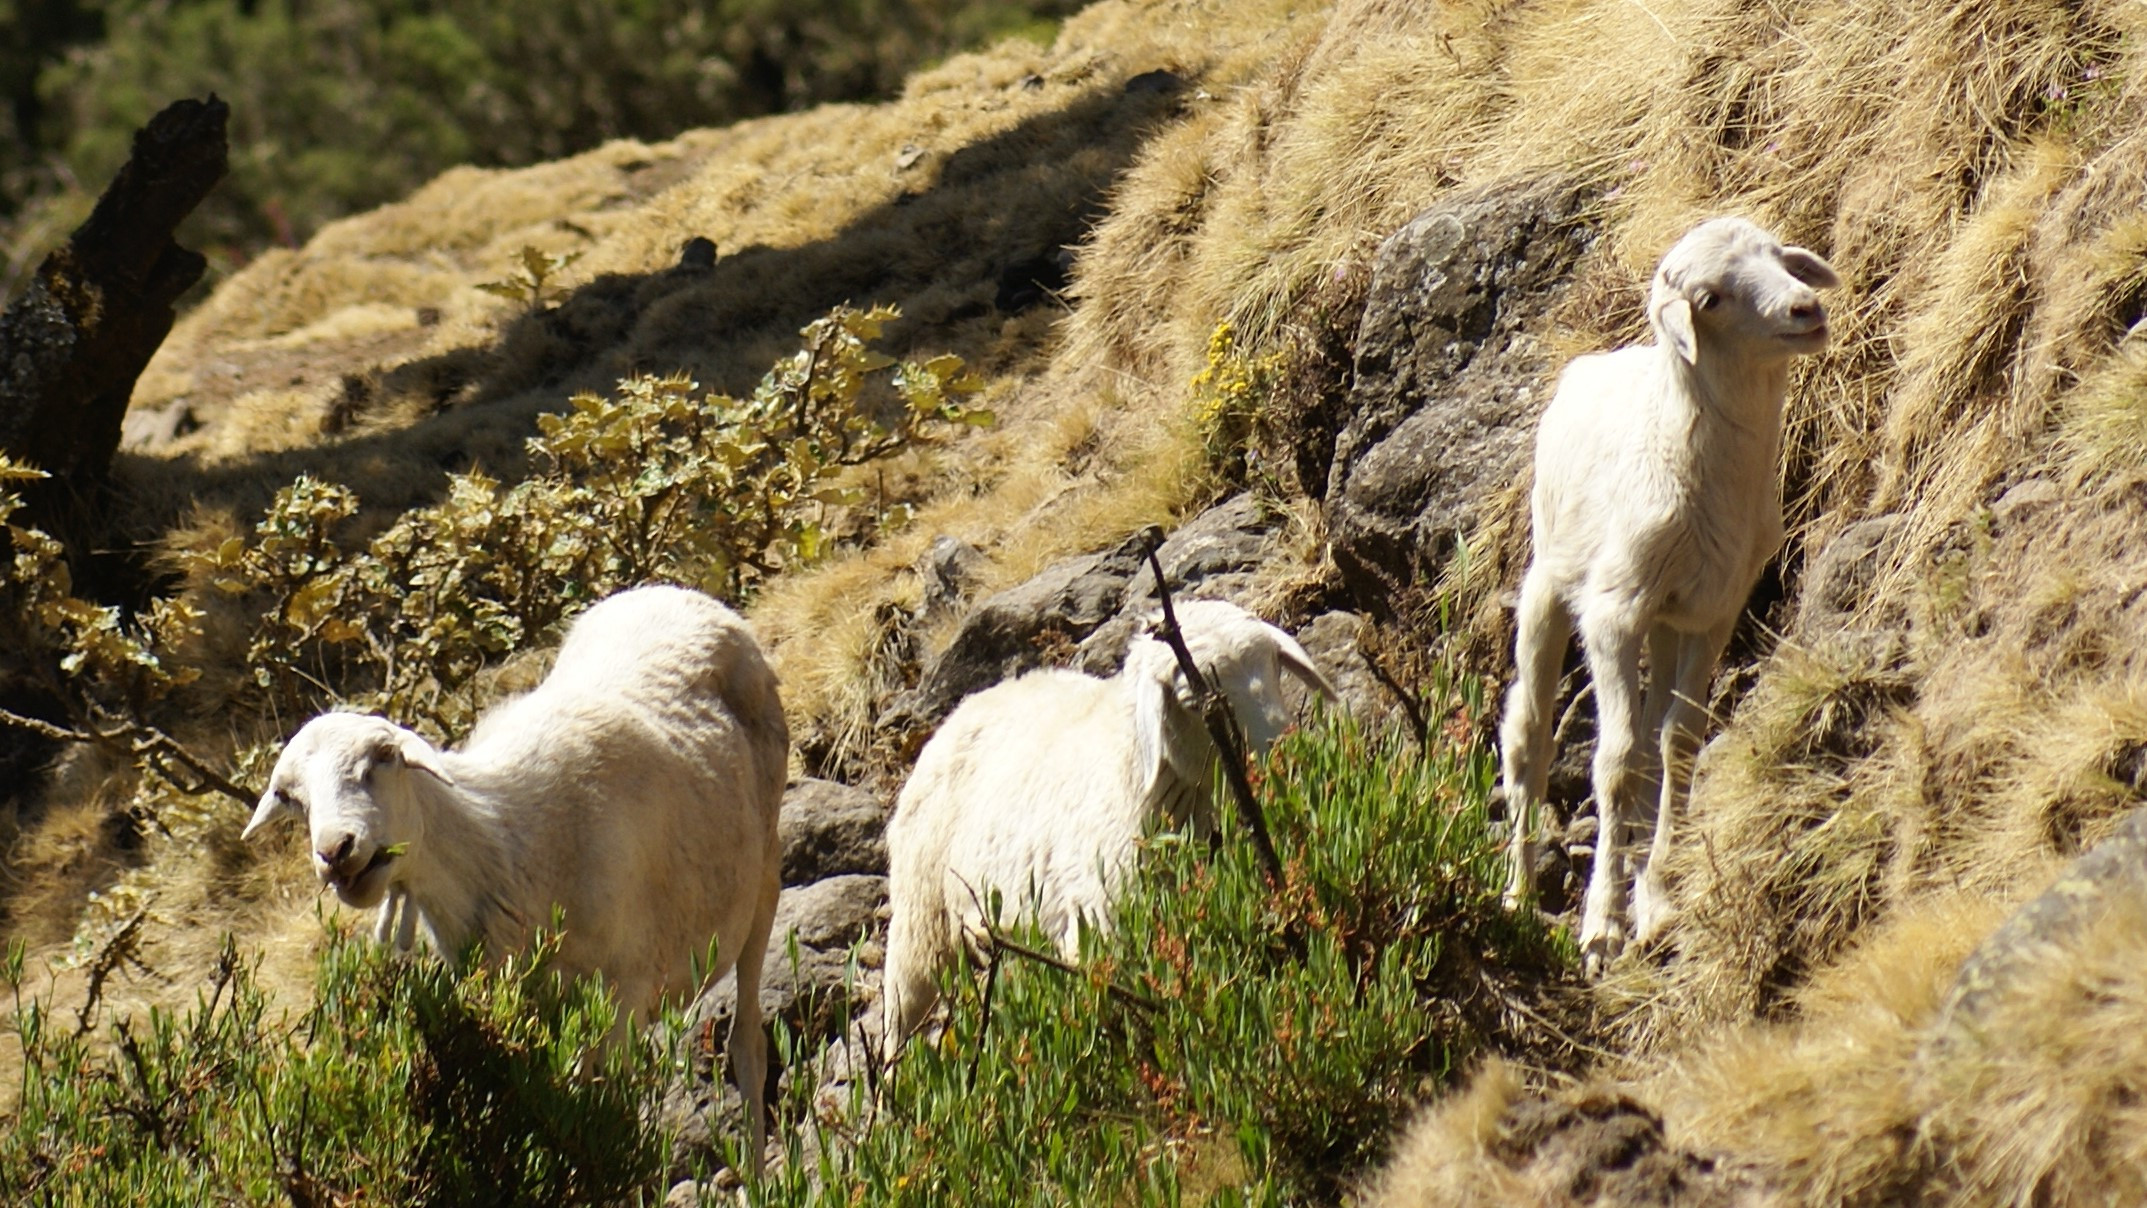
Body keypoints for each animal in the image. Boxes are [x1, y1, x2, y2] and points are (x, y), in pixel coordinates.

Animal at [243, 587, 794, 1175]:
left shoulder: (624, 991)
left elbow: (609, 1119)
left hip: (763, 873)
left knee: (748, 1043)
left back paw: (757, 1174)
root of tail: (675, 592)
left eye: (385, 756)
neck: (503, 840)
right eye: (291, 797)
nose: (336, 852)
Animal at [880, 600, 1331, 1064]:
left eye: (1273, 664)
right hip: (921, 918)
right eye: (1193, 698)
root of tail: (965, 707)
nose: (1281, 752)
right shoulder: (1099, 927)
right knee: (899, 1023)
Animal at [1502, 212, 1837, 978]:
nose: (1804, 309)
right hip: (1549, 583)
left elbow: (1675, 745)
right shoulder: (1612, 614)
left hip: (1666, 615)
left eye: (1778, 258)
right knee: (1528, 738)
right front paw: (1600, 926)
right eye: (1710, 298)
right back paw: (1518, 891)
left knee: (1653, 732)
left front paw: (1654, 902)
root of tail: (1590, 363)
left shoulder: (1712, 612)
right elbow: (1616, 760)